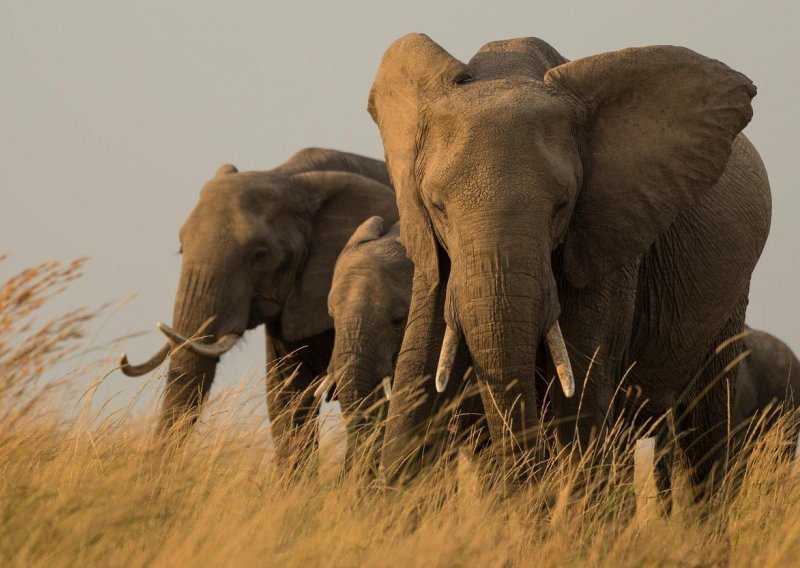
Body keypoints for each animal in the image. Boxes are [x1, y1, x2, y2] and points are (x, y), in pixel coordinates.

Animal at [368, 34, 768, 496]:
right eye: (437, 207)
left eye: (561, 205)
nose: (519, 486)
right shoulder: (434, 255)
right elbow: (415, 380)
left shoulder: (606, 234)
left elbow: (582, 398)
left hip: (731, 296)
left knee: (704, 431)